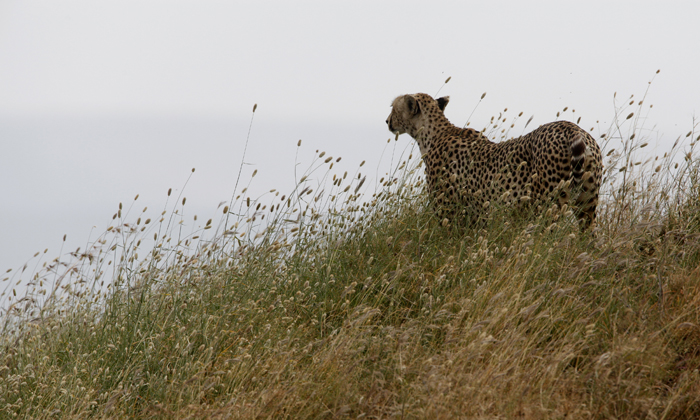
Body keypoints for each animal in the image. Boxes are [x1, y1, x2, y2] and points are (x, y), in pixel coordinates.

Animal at [386, 92, 604, 230]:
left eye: (393, 108)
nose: (387, 121)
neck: (433, 134)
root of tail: (572, 127)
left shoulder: (448, 212)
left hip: (546, 206)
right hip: (587, 202)